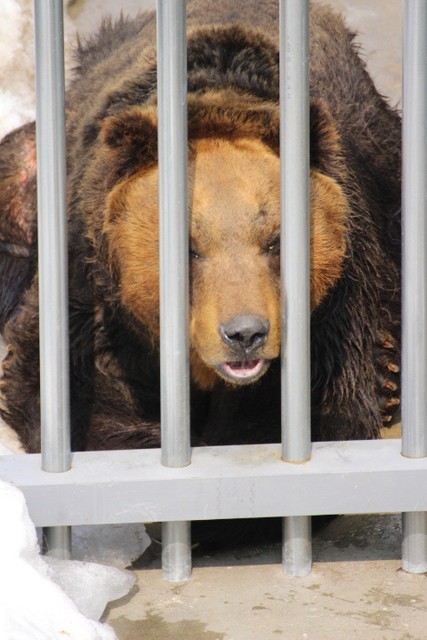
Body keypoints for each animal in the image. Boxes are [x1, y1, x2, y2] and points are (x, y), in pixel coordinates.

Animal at [0, 0, 402, 462]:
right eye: (189, 248)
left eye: (275, 242)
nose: (245, 333)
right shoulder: (91, 291)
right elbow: (87, 404)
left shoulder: (338, 301)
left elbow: (328, 404)